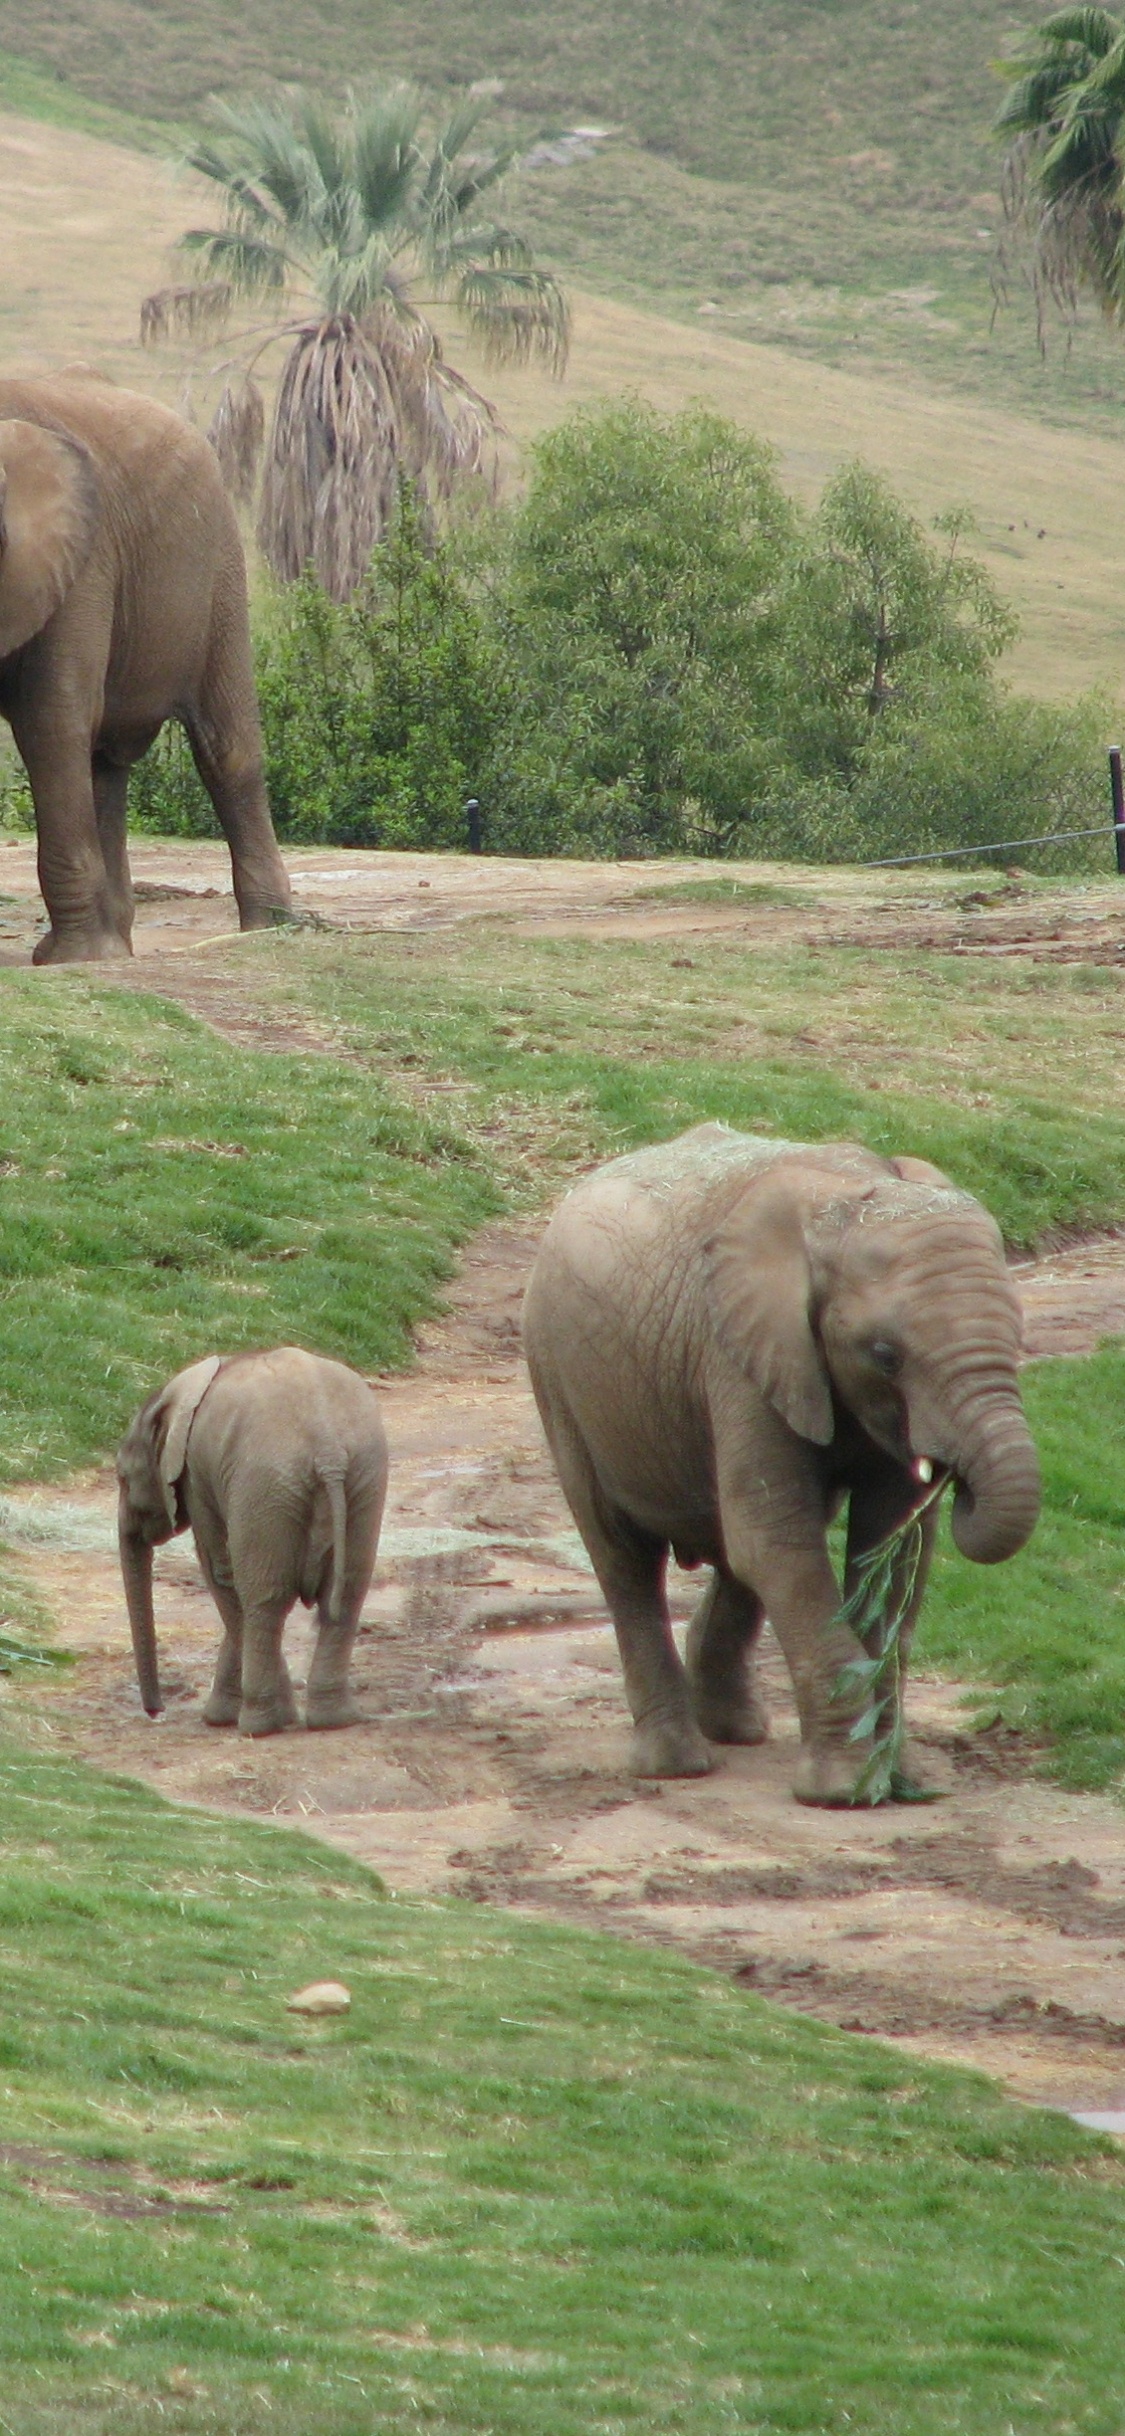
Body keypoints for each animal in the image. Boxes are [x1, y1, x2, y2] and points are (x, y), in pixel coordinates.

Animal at [0, 370, 292, 962]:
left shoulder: (81, 561)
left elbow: (50, 718)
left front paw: (73, 962)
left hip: (217, 563)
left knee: (225, 749)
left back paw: (272, 928)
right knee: (104, 762)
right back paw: (113, 947)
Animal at [116, 1346, 388, 1735]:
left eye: (122, 1478)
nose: (156, 1711)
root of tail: (328, 1450)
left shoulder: (198, 1476)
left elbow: (220, 1572)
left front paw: (219, 1718)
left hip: (264, 1484)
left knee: (263, 1599)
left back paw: (260, 1726)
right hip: (364, 1477)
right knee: (348, 1594)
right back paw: (334, 1720)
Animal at [522, 1124, 1040, 1806]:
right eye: (885, 1354)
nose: (955, 1478)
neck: (846, 1202)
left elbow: (891, 1555)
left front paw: (900, 1780)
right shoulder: (737, 1354)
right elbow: (777, 1546)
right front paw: (845, 1793)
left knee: (735, 1551)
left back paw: (737, 1729)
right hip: (558, 1379)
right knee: (624, 1556)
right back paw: (676, 1764)